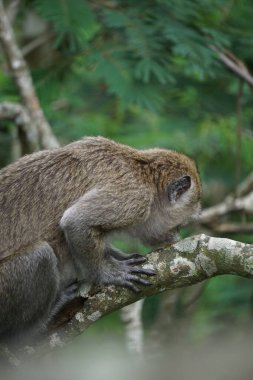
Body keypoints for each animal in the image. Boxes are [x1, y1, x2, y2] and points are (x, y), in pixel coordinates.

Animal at [0, 136, 202, 342]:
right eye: (179, 225)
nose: (175, 236)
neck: (145, 173)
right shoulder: (135, 197)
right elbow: (75, 221)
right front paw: (108, 273)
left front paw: (118, 257)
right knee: (41, 255)